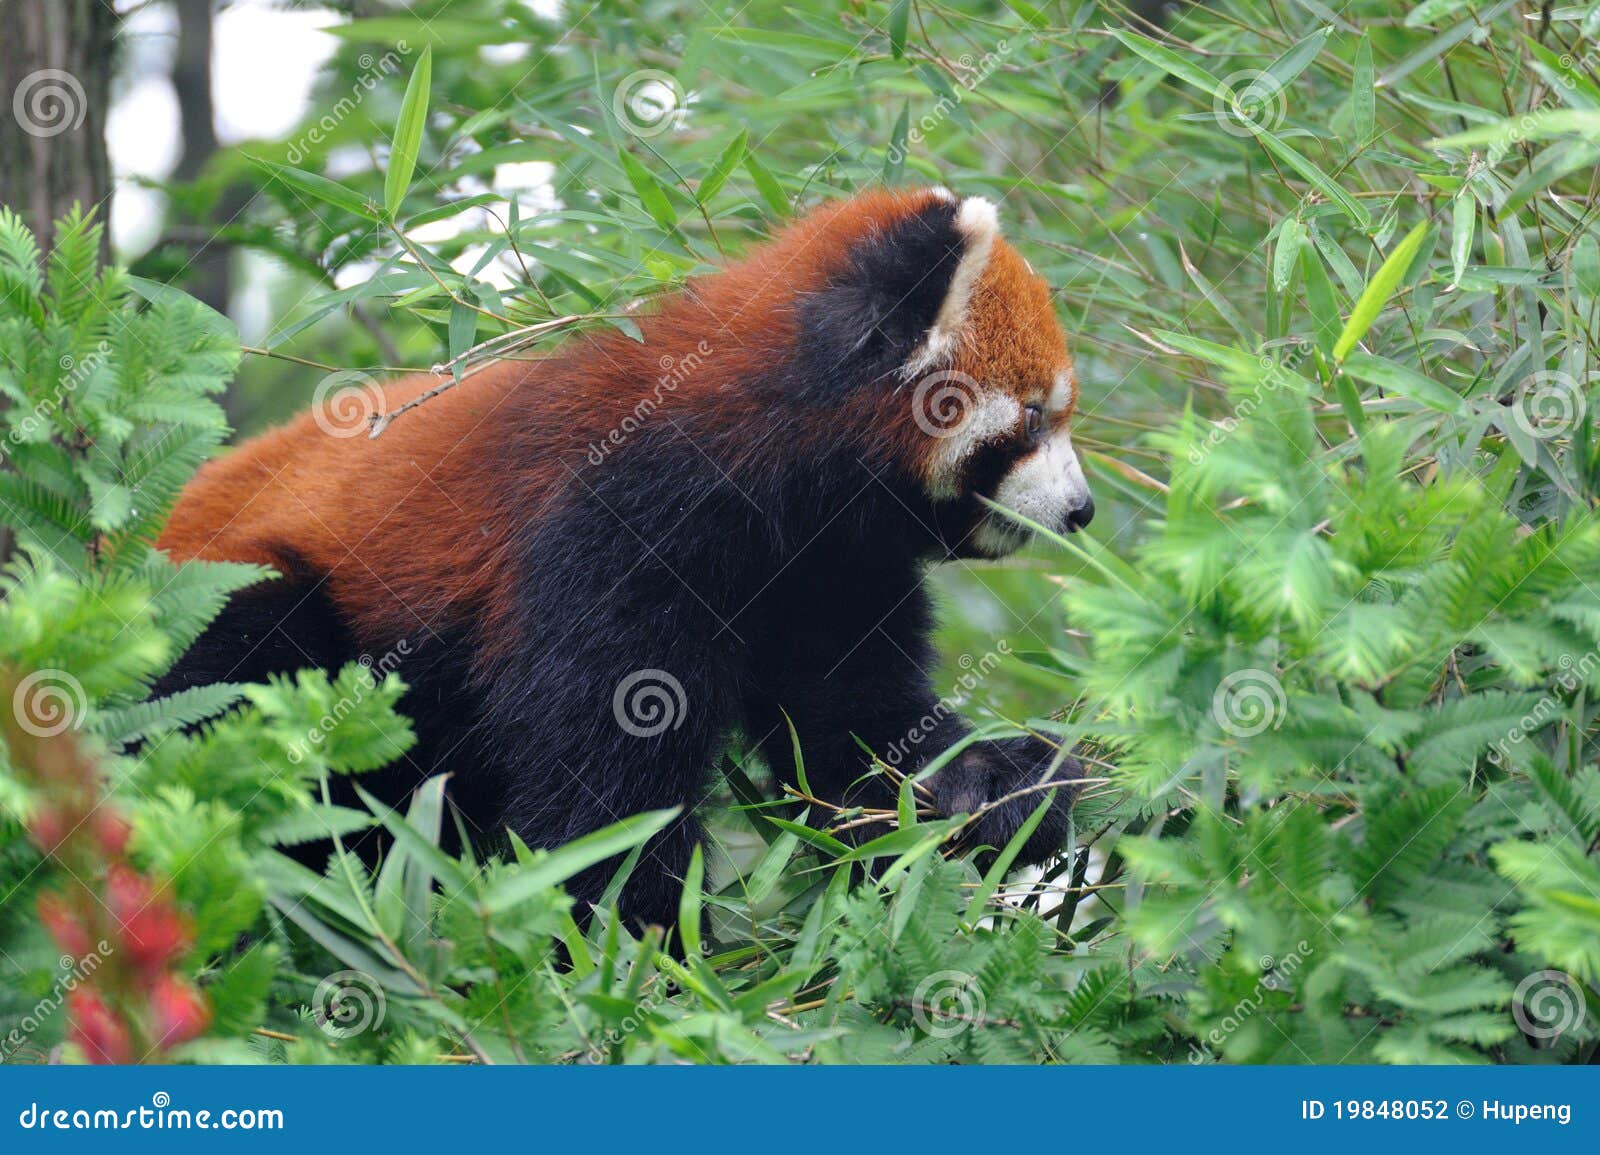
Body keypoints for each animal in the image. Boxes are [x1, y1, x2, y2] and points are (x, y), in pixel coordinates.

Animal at [157, 187, 1095, 929]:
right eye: (1035, 419)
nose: (1082, 509)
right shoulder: (605, 532)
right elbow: (604, 796)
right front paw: (644, 955)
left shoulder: (823, 565)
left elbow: (854, 728)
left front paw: (994, 784)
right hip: (244, 599)